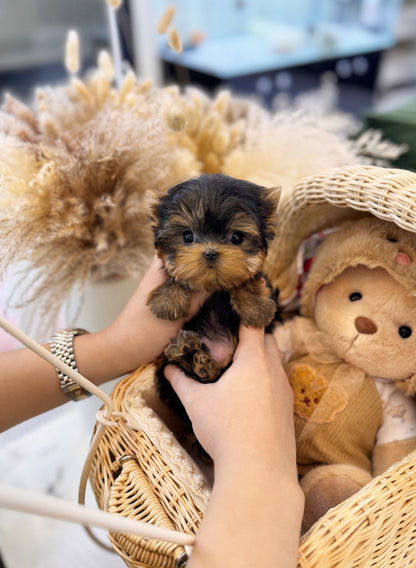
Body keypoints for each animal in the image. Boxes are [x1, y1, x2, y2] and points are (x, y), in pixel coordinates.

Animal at [146, 175, 280, 450]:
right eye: (187, 236)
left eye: (236, 238)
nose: (210, 252)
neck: (213, 286)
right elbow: (179, 275)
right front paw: (168, 299)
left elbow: (244, 280)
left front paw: (255, 307)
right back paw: (188, 351)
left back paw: (197, 358)